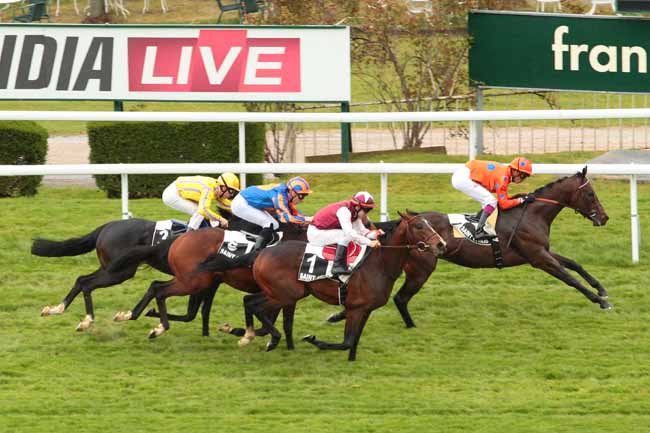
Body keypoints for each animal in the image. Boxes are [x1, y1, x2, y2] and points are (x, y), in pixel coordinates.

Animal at [109, 223, 306, 340]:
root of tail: (179, 239)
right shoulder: (283, 294)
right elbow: (281, 322)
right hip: (193, 281)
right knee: (161, 291)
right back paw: (160, 327)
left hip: (189, 279)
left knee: (155, 285)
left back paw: (131, 315)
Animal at [235, 211, 448, 360]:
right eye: (419, 226)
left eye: (430, 224)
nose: (441, 244)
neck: (379, 263)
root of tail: (261, 253)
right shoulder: (355, 308)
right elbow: (346, 342)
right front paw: (313, 339)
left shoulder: (366, 309)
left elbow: (353, 341)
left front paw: (351, 360)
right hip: (286, 294)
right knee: (255, 306)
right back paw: (267, 337)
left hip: (281, 292)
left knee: (249, 300)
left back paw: (249, 334)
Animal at [326, 165, 612, 324]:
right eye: (590, 194)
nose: (604, 218)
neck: (530, 214)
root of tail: (405, 223)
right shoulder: (538, 257)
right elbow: (569, 277)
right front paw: (600, 301)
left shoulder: (544, 251)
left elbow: (574, 264)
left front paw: (601, 289)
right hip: (422, 269)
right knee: (400, 297)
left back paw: (338, 315)